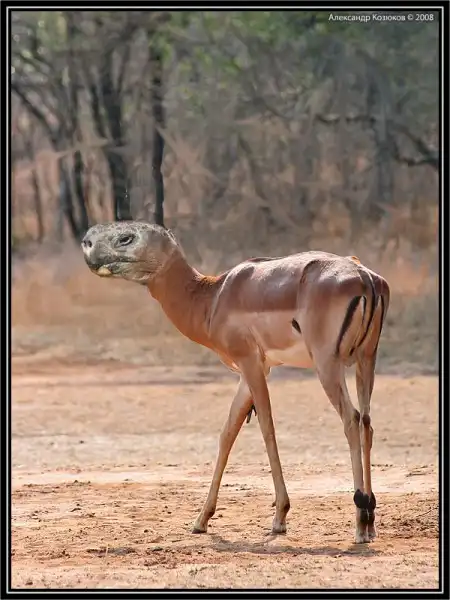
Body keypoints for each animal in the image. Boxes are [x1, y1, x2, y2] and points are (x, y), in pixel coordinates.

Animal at [81, 221, 390, 544]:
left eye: (126, 237)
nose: (88, 248)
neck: (213, 296)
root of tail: (365, 277)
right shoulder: (251, 372)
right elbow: (227, 433)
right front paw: (201, 519)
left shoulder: (251, 363)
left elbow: (267, 429)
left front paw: (279, 517)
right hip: (366, 360)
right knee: (367, 422)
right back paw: (371, 521)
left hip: (328, 365)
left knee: (351, 419)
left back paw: (360, 524)